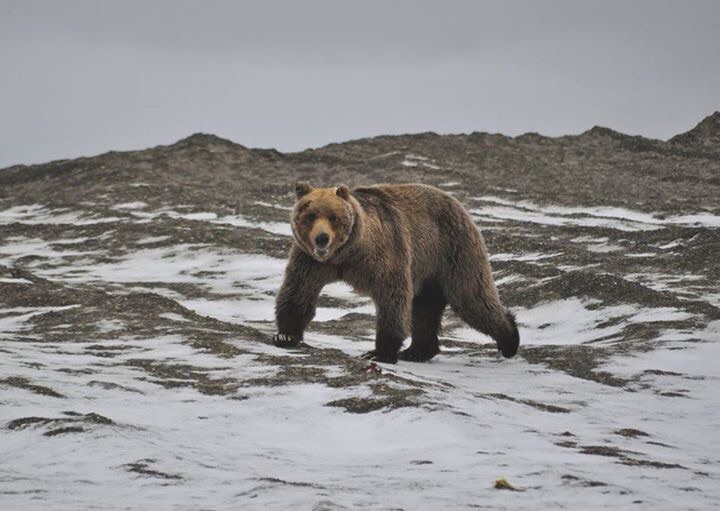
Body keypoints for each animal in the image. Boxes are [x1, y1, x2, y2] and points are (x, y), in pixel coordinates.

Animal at [273, 182, 519, 364]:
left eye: (334, 217)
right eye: (310, 215)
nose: (322, 238)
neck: (347, 254)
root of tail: (458, 204)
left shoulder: (383, 255)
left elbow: (392, 298)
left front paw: (378, 352)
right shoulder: (310, 261)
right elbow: (298, 291)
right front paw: (285, 335)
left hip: (453, 252)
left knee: (472, 298)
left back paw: (509, 341)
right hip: (428, 270)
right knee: (425, 308)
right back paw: (417, 351)